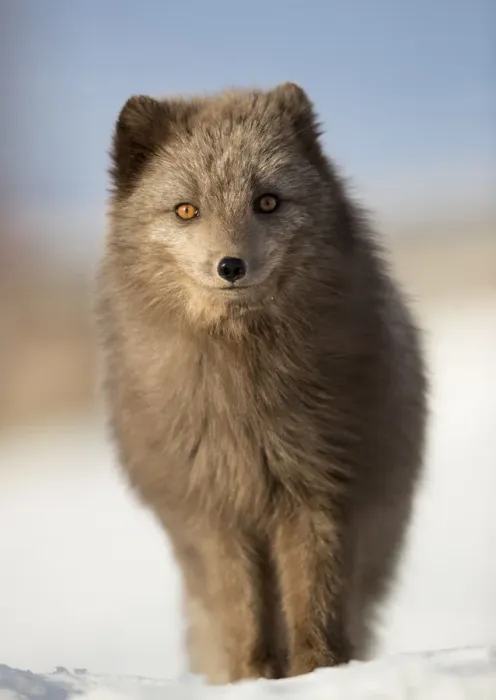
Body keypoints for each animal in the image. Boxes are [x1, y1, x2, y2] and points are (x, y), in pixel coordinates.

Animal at [96, 82, 428, 685]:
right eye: (186, 209)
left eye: (268, 202)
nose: (231, 266)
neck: (244, 401)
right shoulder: (215, 511)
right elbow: (244, 614)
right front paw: (254, 681)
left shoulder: (318, 492)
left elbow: (314, 606)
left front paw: (318, 676)